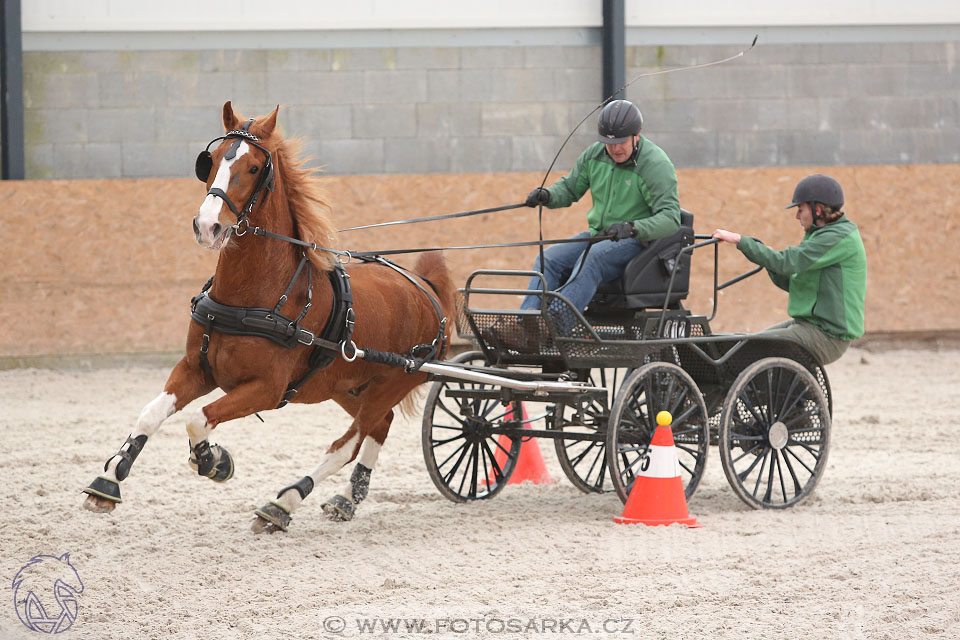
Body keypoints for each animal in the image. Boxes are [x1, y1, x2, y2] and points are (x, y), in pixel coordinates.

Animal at [81, 101, 454, 528]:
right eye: (210, 161)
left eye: (255, 167)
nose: (207, 226)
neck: (255, 299)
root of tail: (426, 289)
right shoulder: (197, 368)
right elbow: (150, 414)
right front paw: (108, 482)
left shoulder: (266, 389)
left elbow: (198, 419)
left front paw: (214, 461)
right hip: (348, 386)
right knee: (380, 426)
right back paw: (347, 498)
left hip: (391, 383)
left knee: (349, 442)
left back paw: (284, 503)